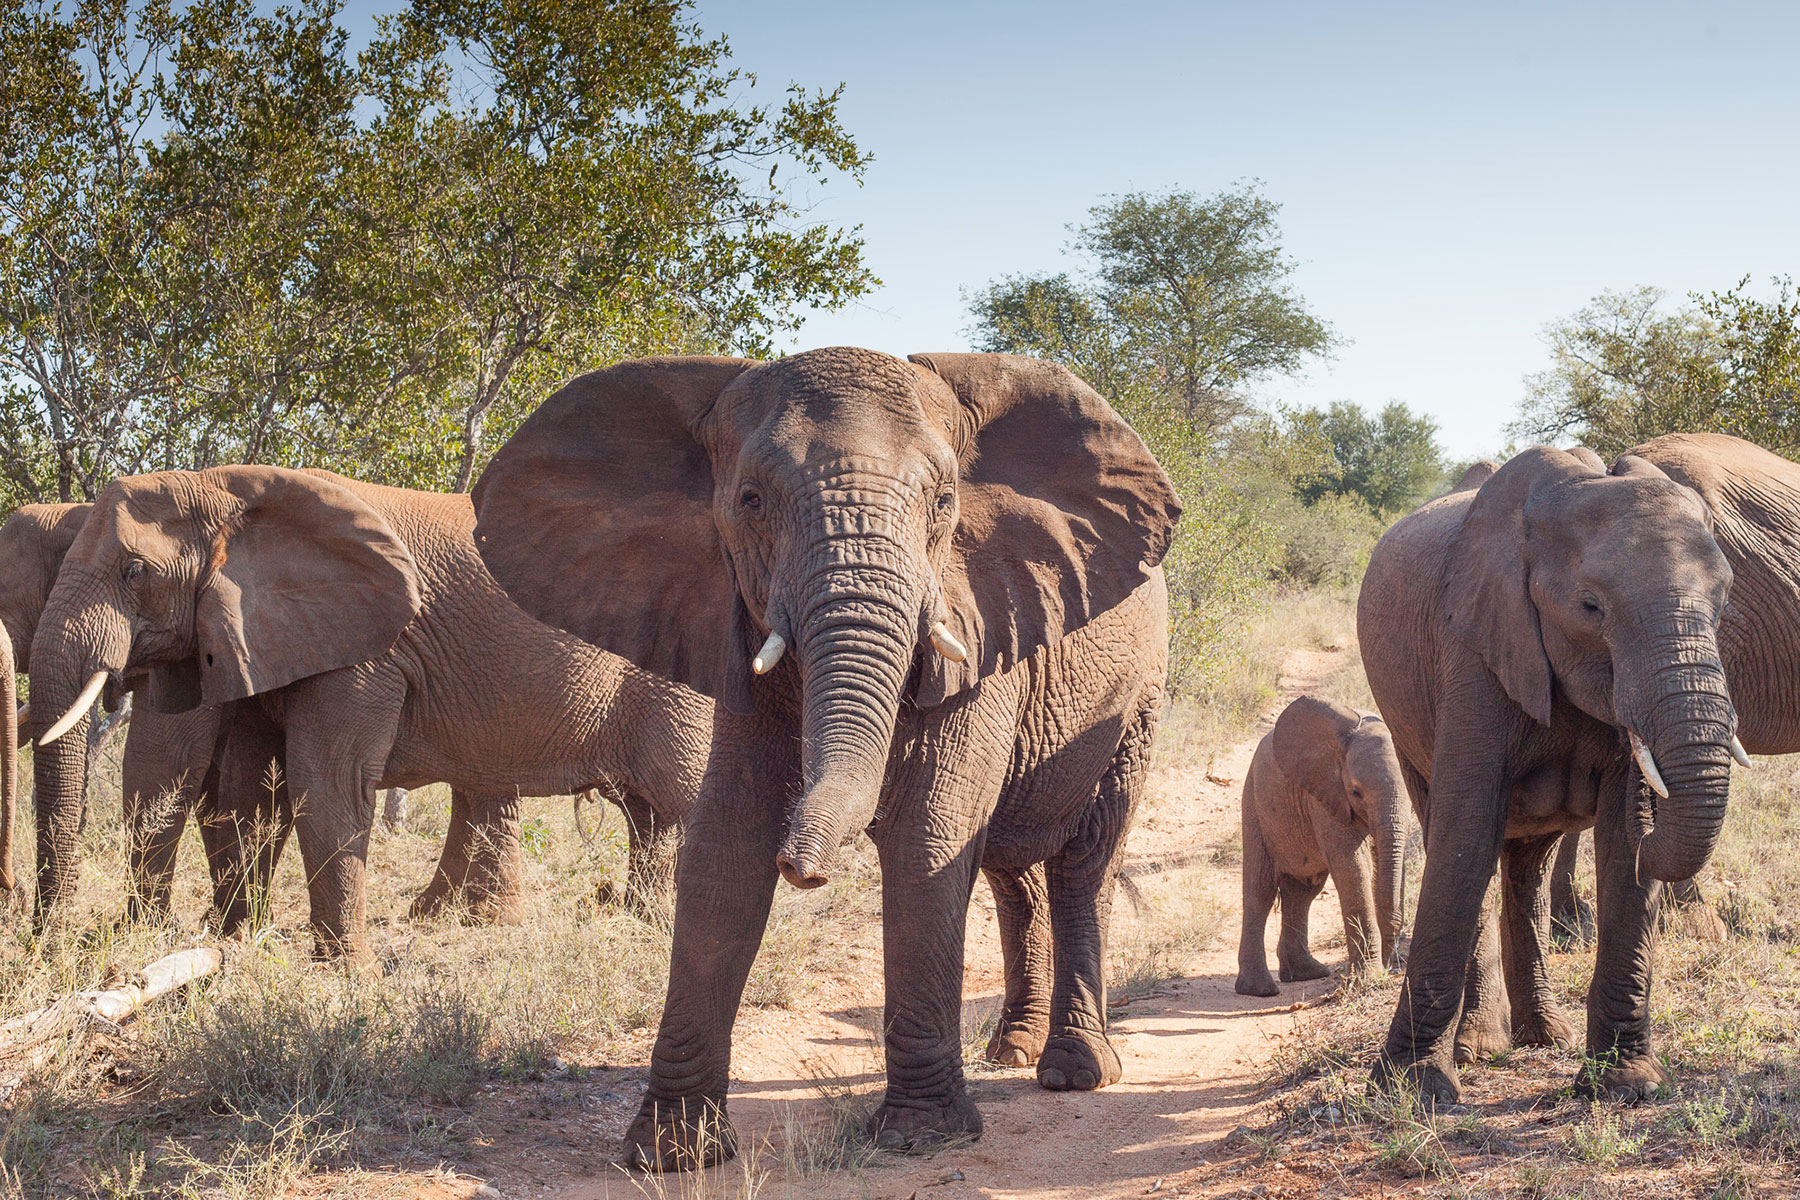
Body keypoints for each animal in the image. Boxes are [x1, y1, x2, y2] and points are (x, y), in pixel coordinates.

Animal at [26, 464, 716, 949]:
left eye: (133, 571)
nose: (45, 939)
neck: (226, 487)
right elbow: (251, 791)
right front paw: (231, 943)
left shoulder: (366, 651)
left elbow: (323, 780)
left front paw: (346, 975)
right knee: (648, 813)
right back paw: (644, 920)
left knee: (682, 797)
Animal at [471, 349, 1188, 1173]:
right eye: (750, 500)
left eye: (944, 502)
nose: (805, 869)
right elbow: (725, 844)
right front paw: (671, 1153)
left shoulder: (978, 623)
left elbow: (929, 838)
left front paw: (919, 1137)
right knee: (1012, 871)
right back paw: (1010, 1050)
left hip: (1138, 699)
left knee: (1083, 861)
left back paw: (1074, 1071)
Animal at [1231, 694, 1411, 993]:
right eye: (1356, 792)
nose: (1392, 964)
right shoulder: (1325, 795)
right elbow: (1353, 867)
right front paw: (1369, 979)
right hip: (1254, 803)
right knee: (1260, 890)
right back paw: (1260, 990)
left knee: (1303, 891)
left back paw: (1307, 973)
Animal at [1360, 444, 1742, 1108]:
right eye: (1592, 607)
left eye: (1723, 603)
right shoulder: (1474, 645)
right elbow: (1464, 837)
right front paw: (1412, 1091)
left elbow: (1622, 841)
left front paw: (1626, 1084)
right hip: (1405, 724)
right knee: (1465, 843)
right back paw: (1480, 1048)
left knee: (1526, 869)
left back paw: (1544, 1037)